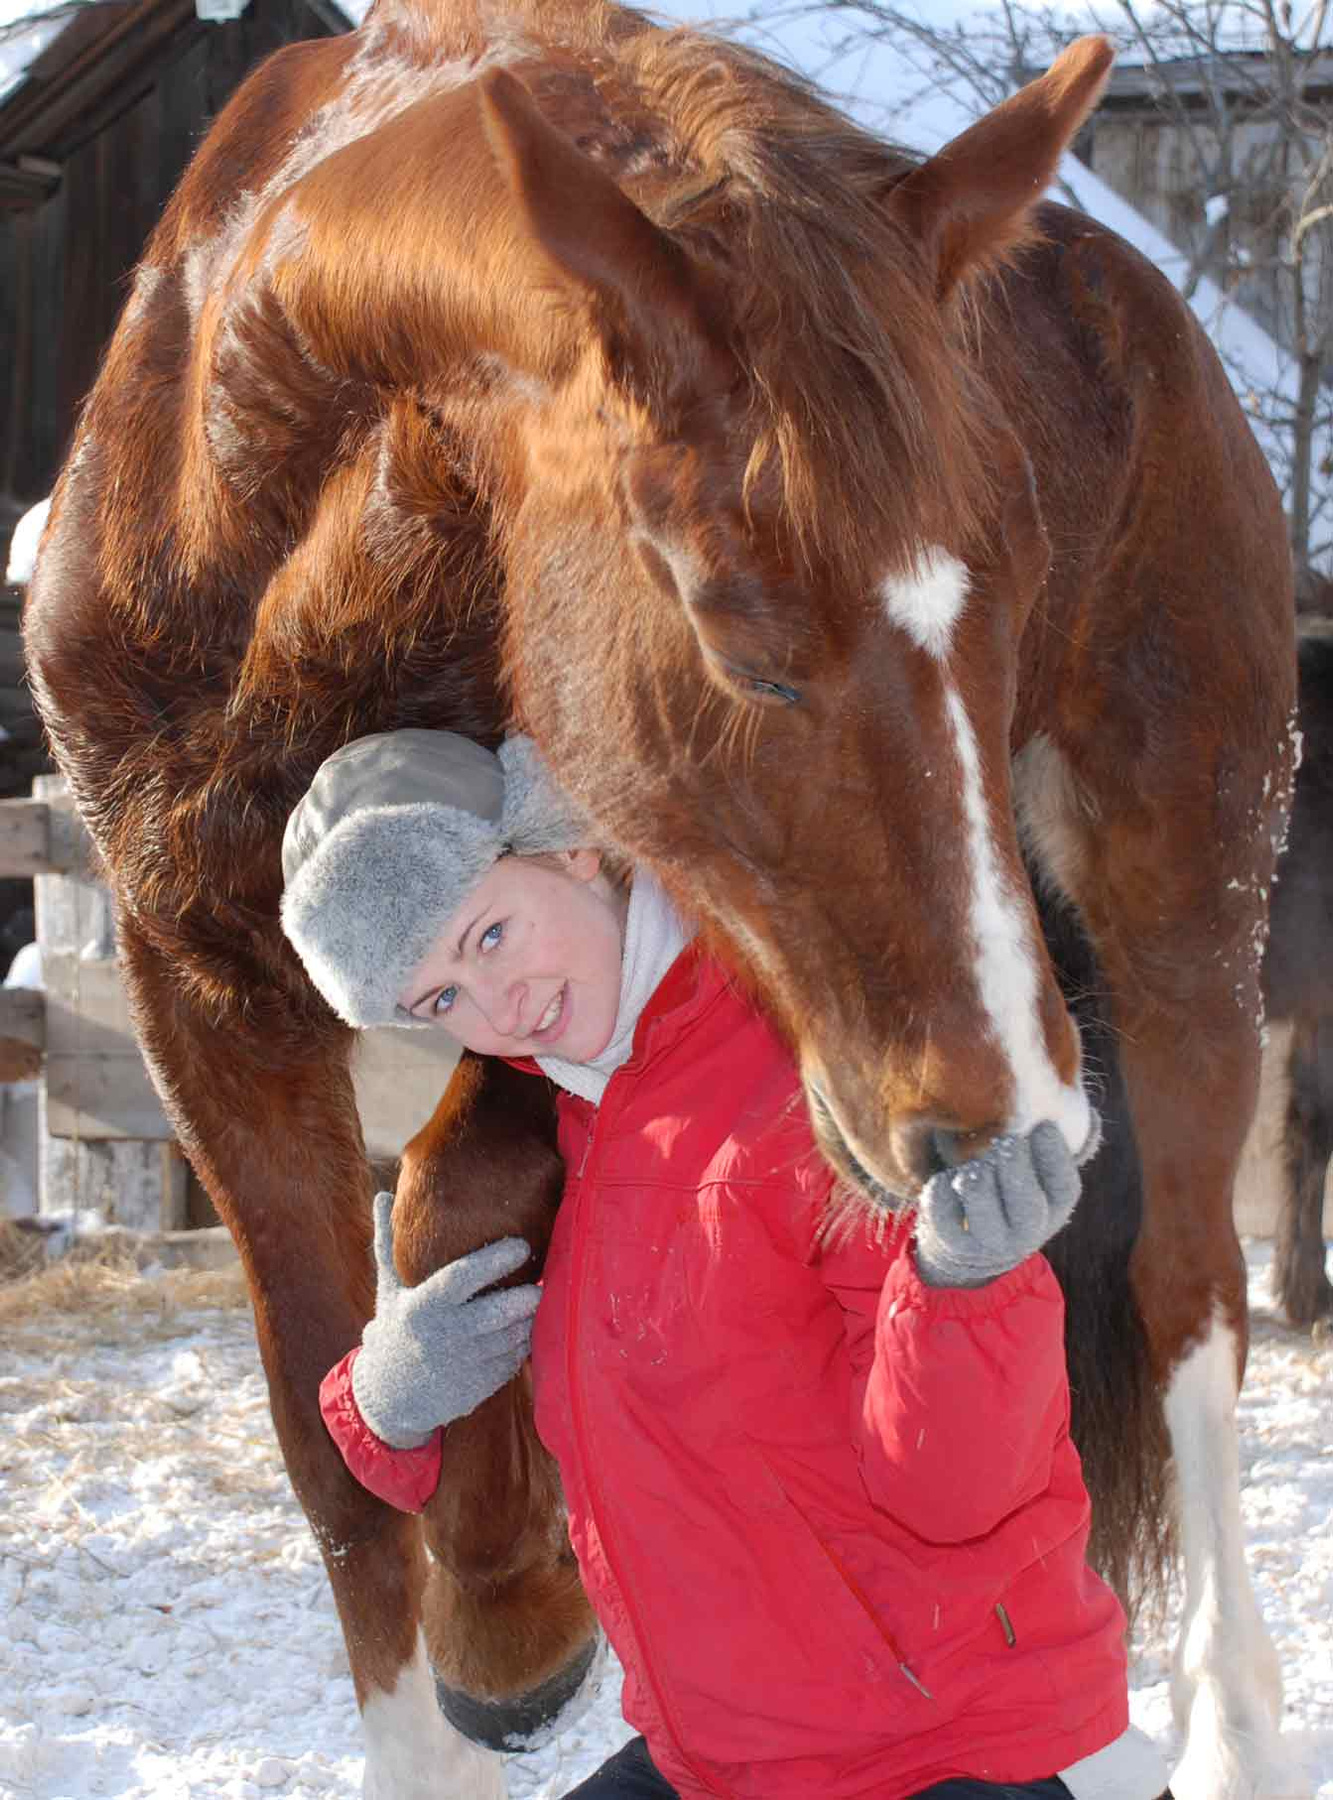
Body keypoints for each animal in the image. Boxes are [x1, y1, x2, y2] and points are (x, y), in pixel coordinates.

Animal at [21, 5, 1304, 1797]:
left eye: (1014, 595)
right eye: (730, 626)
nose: (1017, 1120)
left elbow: (463, 1182)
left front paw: (512, 1601)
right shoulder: (199, 989)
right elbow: (334, 1425)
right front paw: (477, 1580)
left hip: (1182, 895)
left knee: (1185, 1295)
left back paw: (1230, 1725)